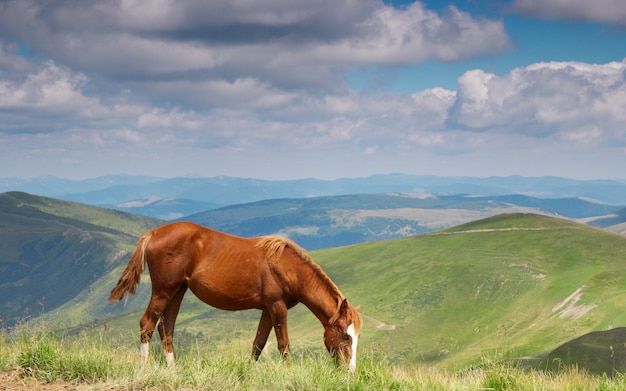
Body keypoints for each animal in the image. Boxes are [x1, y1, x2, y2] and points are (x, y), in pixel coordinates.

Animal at [107, 224, 360, 370]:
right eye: (345, 336)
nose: (350, 370)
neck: (289, 268)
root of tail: (153, 233)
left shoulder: (267, 309)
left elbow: (258, 344)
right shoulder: (277, 307)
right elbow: (283, 344)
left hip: (178, 290)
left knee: (165, 327)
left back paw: (173, 369)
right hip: (163, 290)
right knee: (147, 324)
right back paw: (144, 368)